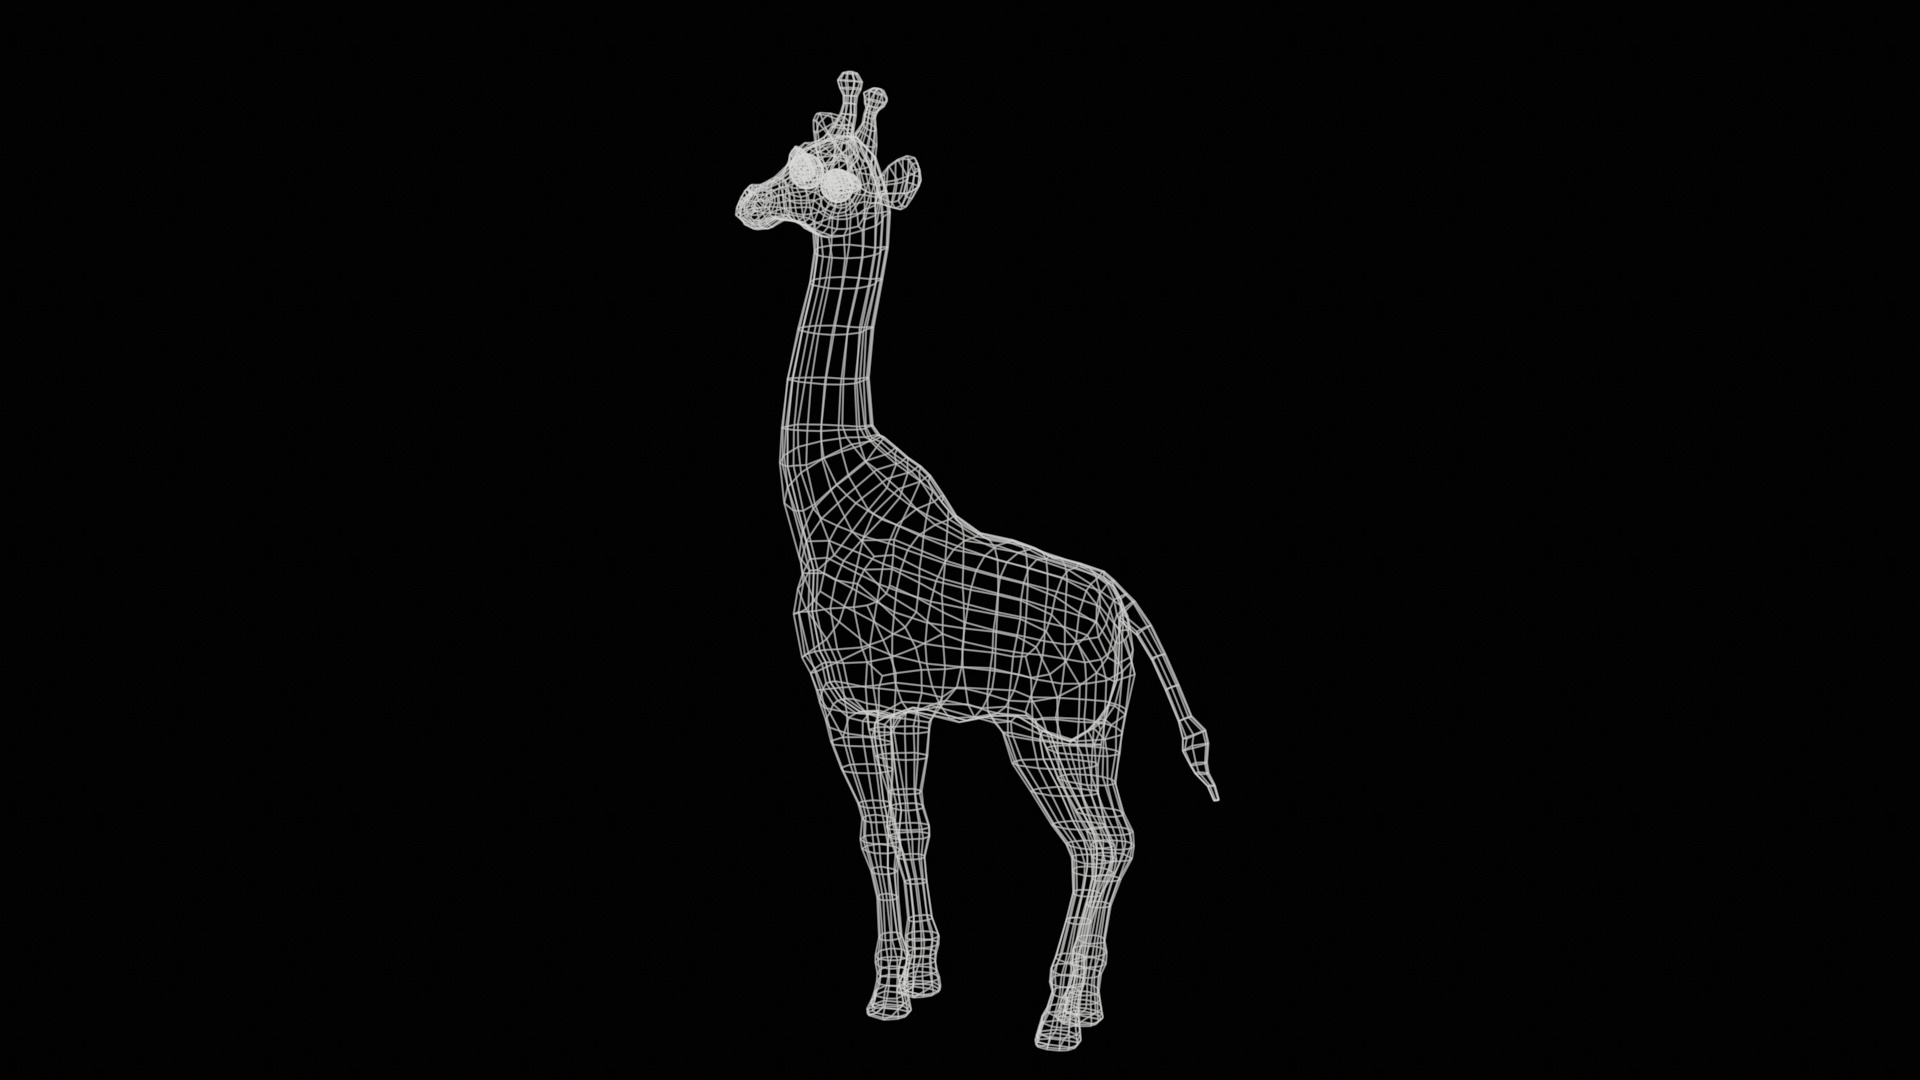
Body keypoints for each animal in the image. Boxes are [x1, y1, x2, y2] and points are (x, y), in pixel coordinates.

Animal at [735, 71, 1220, 1053]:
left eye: (834, 174)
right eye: (794, 151)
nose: (752, 203)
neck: (824, 495)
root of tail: (1127, 609)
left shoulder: (860, 698)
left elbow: (883, 835)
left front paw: (887, 997)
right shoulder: (891, 705)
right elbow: (903, 829)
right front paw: (922, 981)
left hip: (1055, 730)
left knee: (1100, 842)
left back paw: (1058, 1021)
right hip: (1088, 728)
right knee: (1114, 838)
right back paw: (1086, 1006)